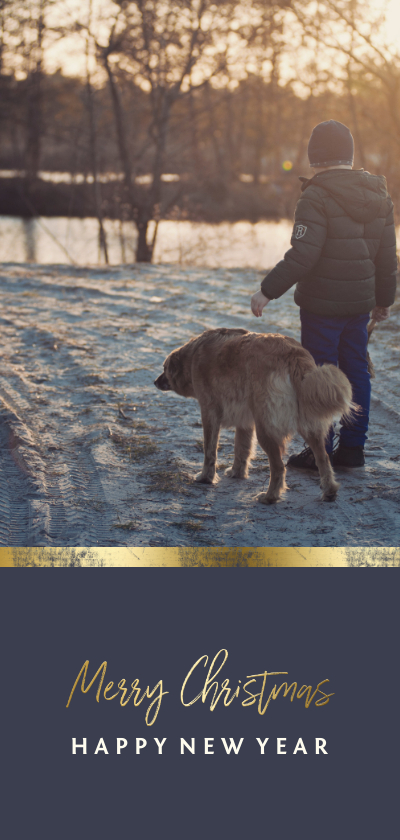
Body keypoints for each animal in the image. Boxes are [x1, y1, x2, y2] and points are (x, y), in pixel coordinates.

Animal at [155, 326, 352, 498]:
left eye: (164, 369)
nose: (155, 382)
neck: (193, 356)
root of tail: (293, 355)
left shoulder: (209, 412)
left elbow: (210, 450)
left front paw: (206, 478)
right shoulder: (245, 421)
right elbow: (241, 448)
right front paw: (237, 472)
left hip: (266, 428)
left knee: (279, 467)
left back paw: (270, 497)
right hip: (308, 426)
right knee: (323, 459)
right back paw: (329, 491)